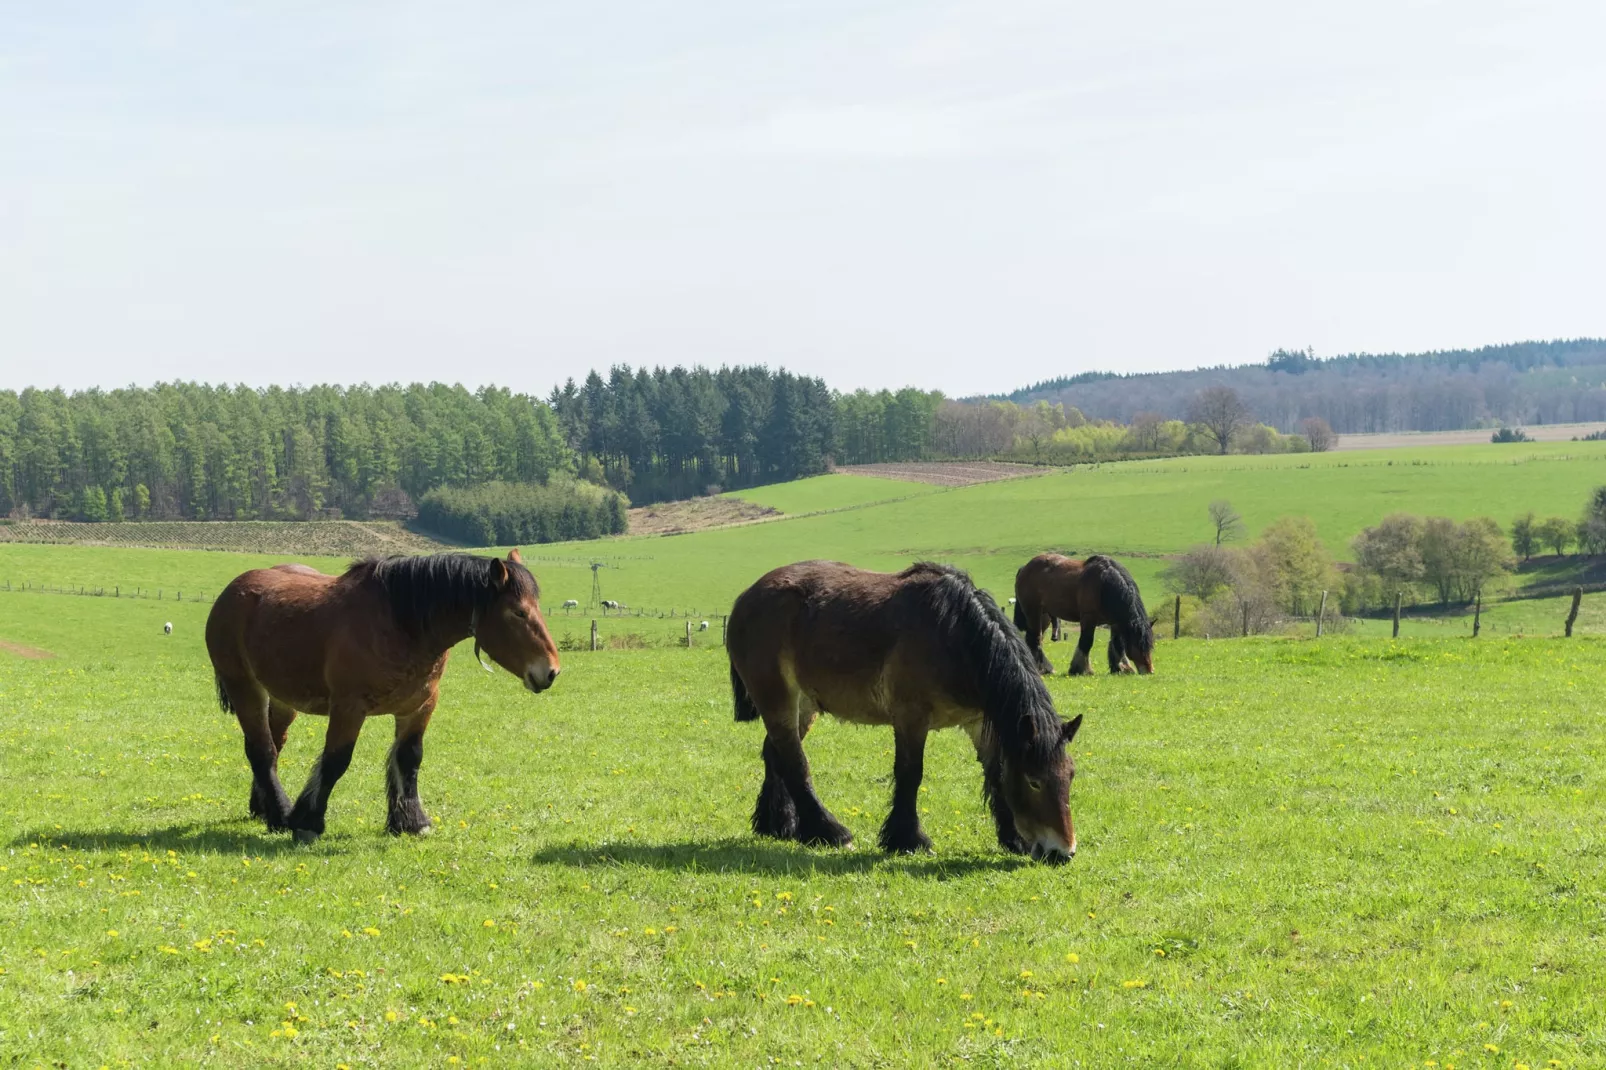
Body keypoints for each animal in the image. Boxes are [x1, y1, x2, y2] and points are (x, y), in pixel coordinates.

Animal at [207, 549, 562, 841]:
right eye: (518, 612)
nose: (551, 671)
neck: (401, 624)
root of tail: (232, 591)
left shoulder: (419, 707)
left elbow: (409, 758)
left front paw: (411, 821)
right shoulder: (349, 708)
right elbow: (336, 761)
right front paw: (308, 821)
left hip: (282, 699)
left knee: (275, 742)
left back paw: (262, 807)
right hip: (244, 687)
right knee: (261, 750)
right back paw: (280, 813)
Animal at [732, 559, 1085, 861]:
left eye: (1070, 775)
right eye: (1034, 781)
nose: (1062, 853)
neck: (952, 633)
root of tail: (747, 597)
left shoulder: (979, 722)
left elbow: (996, 774)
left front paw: (1014, 838)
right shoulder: (911, 718)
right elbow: (910, 774)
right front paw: (907, 839)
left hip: (803, 704)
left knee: (775, 753)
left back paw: (779, 824)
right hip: (777, 698)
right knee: (794, 762)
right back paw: (828, 831)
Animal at [1014, 552, 1156, 671]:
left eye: (1150, 645)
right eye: (1139, 644)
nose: (1149, 670)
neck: (1104, 584)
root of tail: (1025, 568)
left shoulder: (1115, 623)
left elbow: (1118, 644)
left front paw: (1122, 668)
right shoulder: (1089, 618)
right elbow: (1086, 642)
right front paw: (1081, 669)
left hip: (1045, 616)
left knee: (1038, 638)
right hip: (1033, 612)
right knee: (1034, 639)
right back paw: (1045, 669)